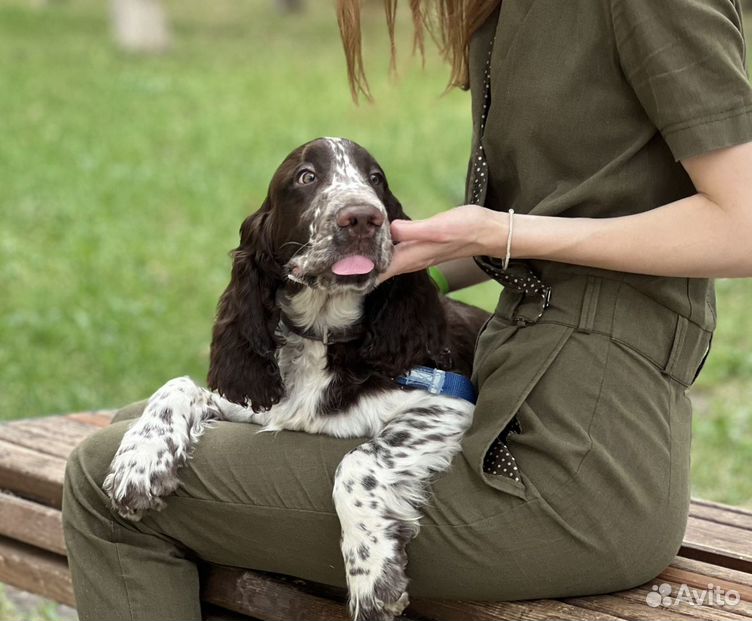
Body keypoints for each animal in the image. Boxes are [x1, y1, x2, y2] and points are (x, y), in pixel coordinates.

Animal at [107, 137, 494, 620]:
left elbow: (357, 462)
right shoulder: (254, 398)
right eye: (306, 177)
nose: (362, 217)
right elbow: (178, 385)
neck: (321, 338)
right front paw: (138, 465)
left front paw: (372, 574)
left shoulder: (448, 402)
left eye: (375, 179)